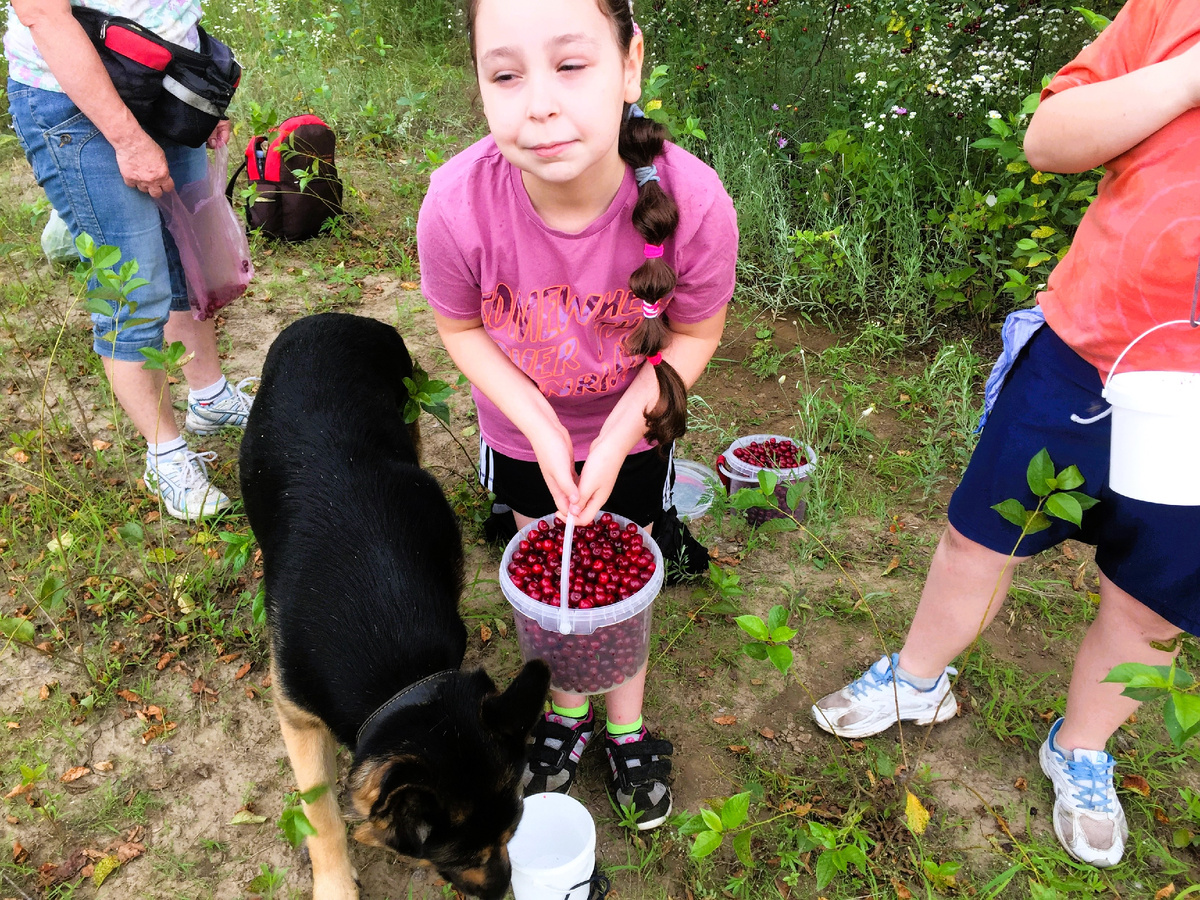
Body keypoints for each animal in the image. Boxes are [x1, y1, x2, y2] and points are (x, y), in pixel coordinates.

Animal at [241, 312, 549, 900]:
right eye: (461, 855)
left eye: (516, 831)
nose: (502, 891)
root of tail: (334, 316)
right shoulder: (297, 718)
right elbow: (321, 817)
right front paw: (335, 884)